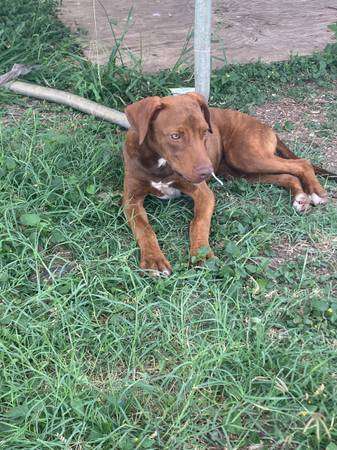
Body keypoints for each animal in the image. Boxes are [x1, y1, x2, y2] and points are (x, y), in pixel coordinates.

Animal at [122, 93, 328, 276]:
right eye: (175, 136)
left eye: (205, 131)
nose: (207, 172)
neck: (159, 164)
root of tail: (263, 124)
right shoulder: (131, 200)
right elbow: (144, 229)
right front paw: (153, 260)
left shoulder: (203, 193)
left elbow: (199, 223)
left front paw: (202, 254)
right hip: (241, 172)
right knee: (287, 175)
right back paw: (300, 197)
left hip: (247, 156)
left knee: (302, 163)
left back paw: (315, 192)